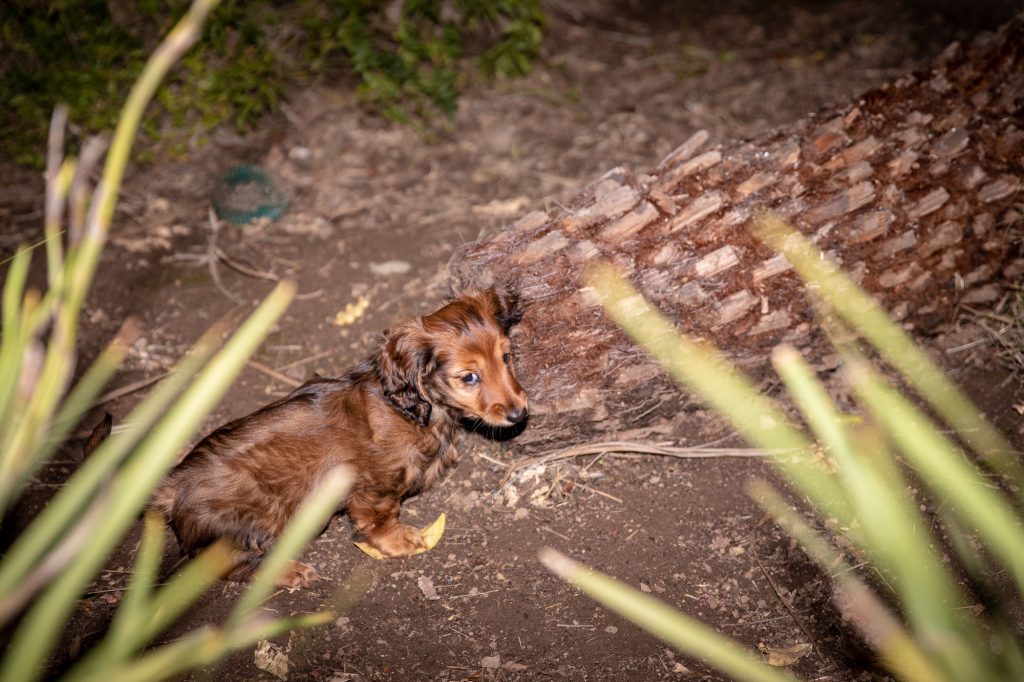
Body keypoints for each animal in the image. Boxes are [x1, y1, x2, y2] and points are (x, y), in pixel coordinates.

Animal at [149, 286, 528, 585]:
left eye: (506, 356)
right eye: (469, 377)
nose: (519, 413)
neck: (408, 408)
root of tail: (173, 487)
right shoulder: (374, 486)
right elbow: (380, 517)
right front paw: (399, 541)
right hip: (257, 519)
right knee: (221, 564)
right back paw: (290, 572)